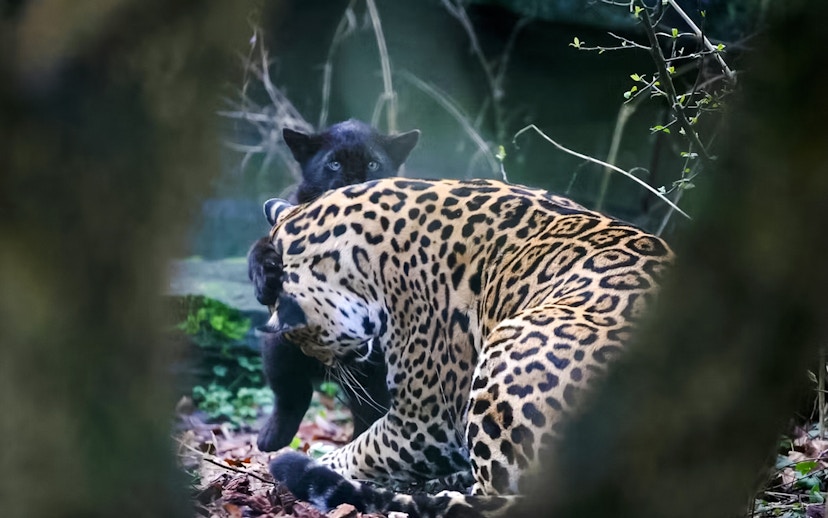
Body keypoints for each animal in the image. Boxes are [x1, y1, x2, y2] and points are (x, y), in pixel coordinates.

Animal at [257, 177, 674, 517]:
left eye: (304, 339)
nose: (329, 363)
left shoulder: (428, 422)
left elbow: (363, 447)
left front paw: (312, 464)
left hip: (509, 351)